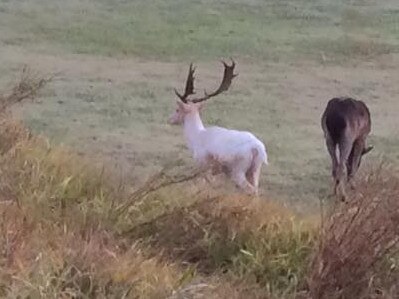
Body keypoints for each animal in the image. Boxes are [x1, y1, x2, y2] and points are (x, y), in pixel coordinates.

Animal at [169, 59, 268, 196]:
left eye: (177, 109)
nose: (170, 119)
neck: (197, 138)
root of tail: (257, 148)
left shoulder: (203, 164)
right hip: (255, 169)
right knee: (257, 189)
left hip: (238, 168)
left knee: (250, 189)